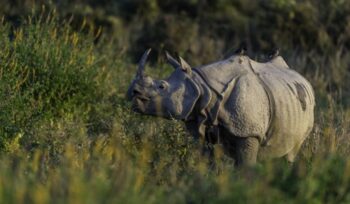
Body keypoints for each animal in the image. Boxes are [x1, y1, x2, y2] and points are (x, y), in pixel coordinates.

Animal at [127, 49, 316, 166]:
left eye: (162, 86)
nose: (133, 92)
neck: (202, 86)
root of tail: (303, 79)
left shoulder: (249, 131)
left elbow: (247, 164)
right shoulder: (203, 122)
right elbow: (207, 161)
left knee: (292, 151)